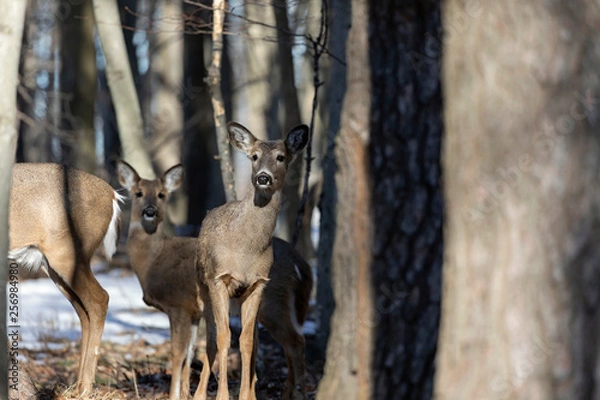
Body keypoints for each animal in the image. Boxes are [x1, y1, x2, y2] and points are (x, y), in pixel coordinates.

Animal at [7, 162, 123, 394]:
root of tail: (112, 195)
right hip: (52, 265)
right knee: (83, 311)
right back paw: (76, 387)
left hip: (68, 254)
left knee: (99, 299)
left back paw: (85, 388)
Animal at [118, 160, 314, 400]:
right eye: (138, 193)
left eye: (161, 194)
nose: (149, 211)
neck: (153, 260)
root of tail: (301, 263)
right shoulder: (194, 312)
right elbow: (190, 353)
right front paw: (187, 393)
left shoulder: (178, 305)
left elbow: (178, 353)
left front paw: (174, 394)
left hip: (274, 303)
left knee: (296, 341)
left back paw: (296, 392)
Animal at [195, 122, 310, 400]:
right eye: (254, 156)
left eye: (281, 157)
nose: (263, 178)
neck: (245, 249)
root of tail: (304, 267)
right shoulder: (218, 279)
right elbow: (224, 337)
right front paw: (223, 396)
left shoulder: (258, 284)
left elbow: (246, 341)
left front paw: (245, 396)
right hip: (205, 290)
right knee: (212, 338)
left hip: (272, 302)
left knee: (287, 340)